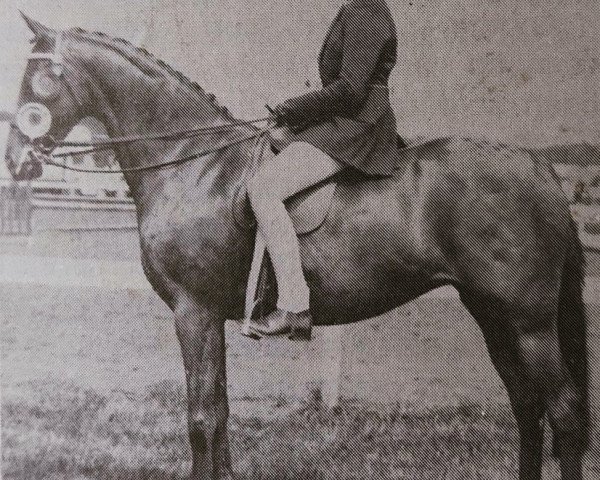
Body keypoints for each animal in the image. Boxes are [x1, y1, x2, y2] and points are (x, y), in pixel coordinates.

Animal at [4, 15, 584, 480]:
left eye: (36, 81)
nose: (16, 162)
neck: (194, 162)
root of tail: (542, 169)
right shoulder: (210, 315)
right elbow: (220, 413)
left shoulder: (193, 311)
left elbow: (200, 417)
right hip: (492, 315)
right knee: (527, 408)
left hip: (528, 322)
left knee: (563, 412)